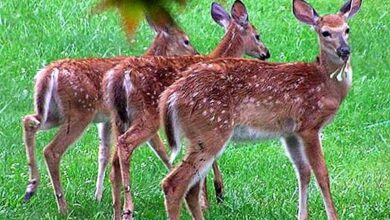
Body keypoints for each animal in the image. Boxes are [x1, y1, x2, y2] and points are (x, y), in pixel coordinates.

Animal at [21, 15, 197, 215]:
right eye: (186, 40)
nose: (196, 54)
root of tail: (49, 73)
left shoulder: (105, 121)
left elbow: (103, 154)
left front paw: (97, 197)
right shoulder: (141, 115)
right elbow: (161, 151)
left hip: (53, 113)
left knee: (29, 121)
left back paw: (31, 188)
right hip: (80, 112)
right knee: (52, 150)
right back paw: (62, 206)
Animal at [103, 1, 272, 218]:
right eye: (258, 35)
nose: (266, 53)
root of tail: (118, 77)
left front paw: (214, 194)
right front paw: (209, 199)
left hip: (118, 119)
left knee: (115, 159)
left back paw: (117, 208)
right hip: (147, 116)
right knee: (125, 145)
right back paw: (128, 207)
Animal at [159, 0, 362, 220]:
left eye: (347, 29)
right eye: (325, 32)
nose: (345, 50)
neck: (327, 83)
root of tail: (171, 95)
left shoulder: (290, 132)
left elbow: (303, 172)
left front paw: (302, 216)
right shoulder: (310, 124)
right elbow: (322, 174)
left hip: (199, 136)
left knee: (192, 187)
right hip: (210, 130)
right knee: (174, 183)